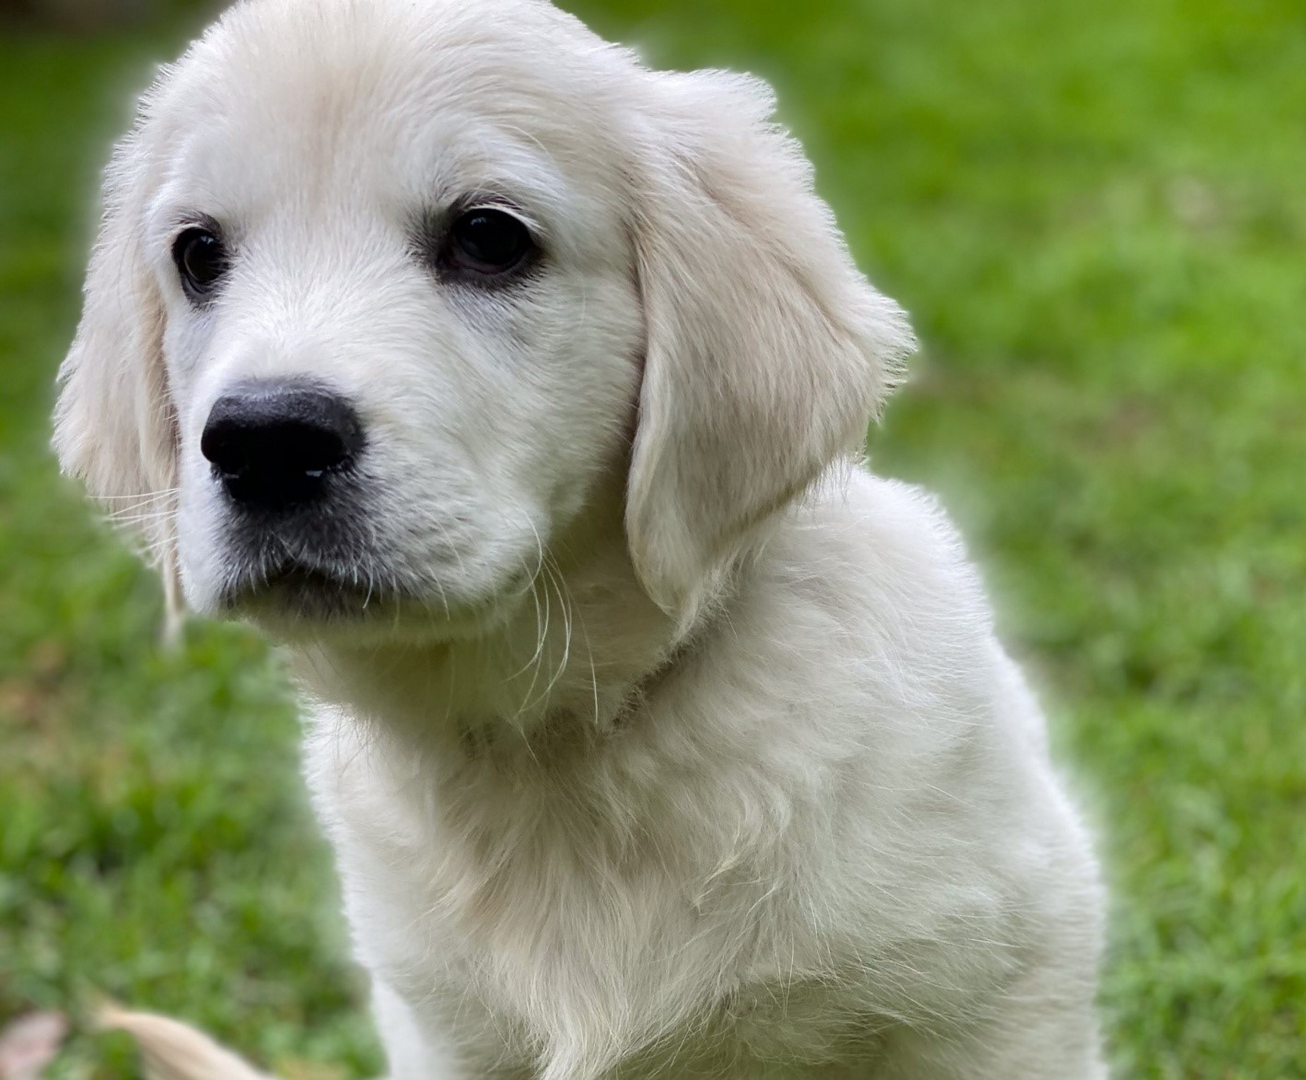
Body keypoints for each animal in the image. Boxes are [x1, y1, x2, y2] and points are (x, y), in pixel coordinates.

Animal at [56, 0, 1107, 1076]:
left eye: (488, 238)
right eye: (197, 255)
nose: (264, 442)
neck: (560, 743)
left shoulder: (996, 996)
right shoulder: (442, 1030)